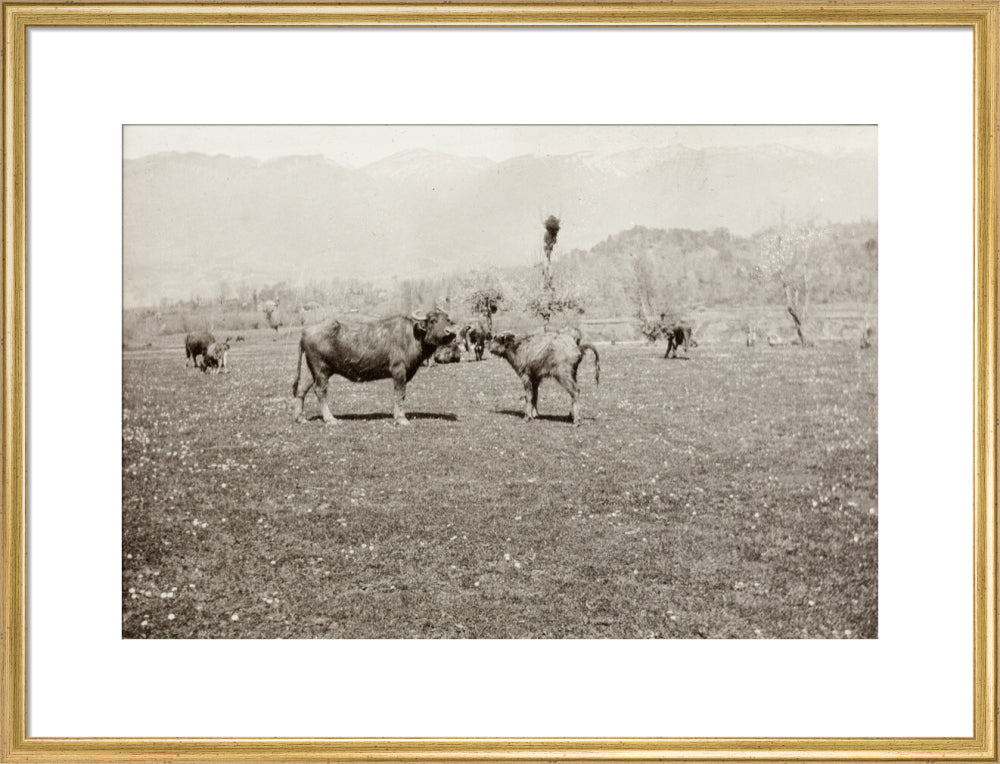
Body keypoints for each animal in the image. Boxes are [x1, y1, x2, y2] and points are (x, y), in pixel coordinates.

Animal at [292, 309, 458, 425]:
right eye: (433, 320)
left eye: (447, 320)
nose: (451, 332)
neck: (412, 336)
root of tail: (305, 332)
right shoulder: (399, 370)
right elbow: (399, 394)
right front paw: (401, 418)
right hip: (321, 369)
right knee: (320, 391)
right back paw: (330, 419)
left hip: (310, 370)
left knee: (301, 390)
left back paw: (300, 418)